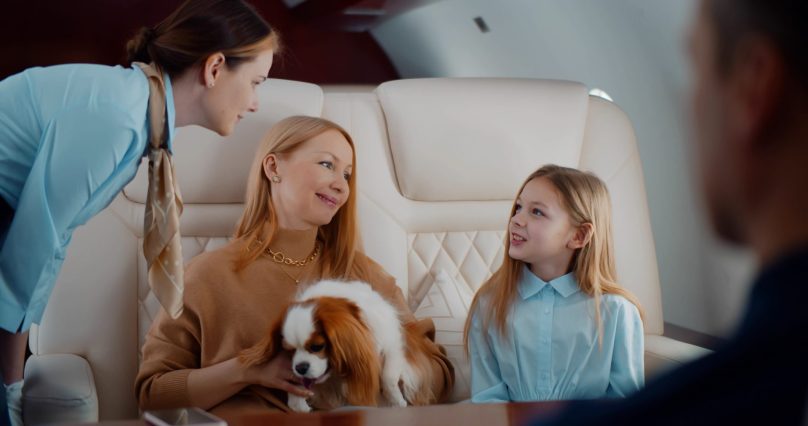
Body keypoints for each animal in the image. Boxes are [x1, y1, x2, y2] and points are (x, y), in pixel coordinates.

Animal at [238, 280, 436, 412]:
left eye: (317, 347)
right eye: (290, 351)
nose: (300, 367)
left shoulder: (393, 345)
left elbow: (388, 378)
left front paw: (396, 401)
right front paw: (298, 403)